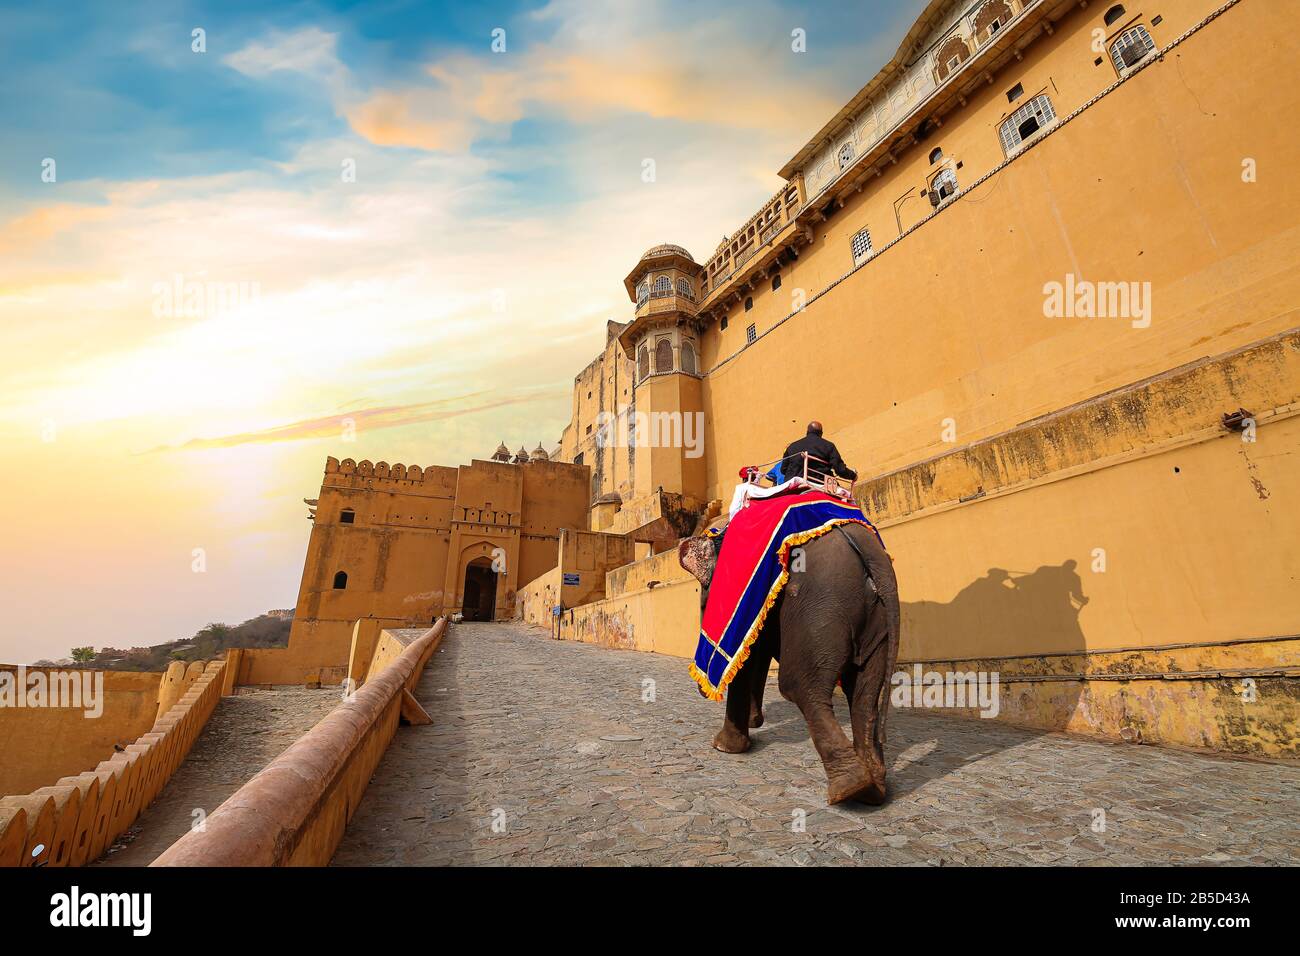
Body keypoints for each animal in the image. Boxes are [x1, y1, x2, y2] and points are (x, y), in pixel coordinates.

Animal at [676, 520, 899, 806]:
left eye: (706, 602)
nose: (702, 690)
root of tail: (871, 557)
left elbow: (749, 657)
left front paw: (724, 747)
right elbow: (756, 652)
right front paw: (753, 723)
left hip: (819, 610)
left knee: (799, 686)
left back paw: (850, 787)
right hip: (876, 621)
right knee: (864, 693)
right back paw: (873, 790)